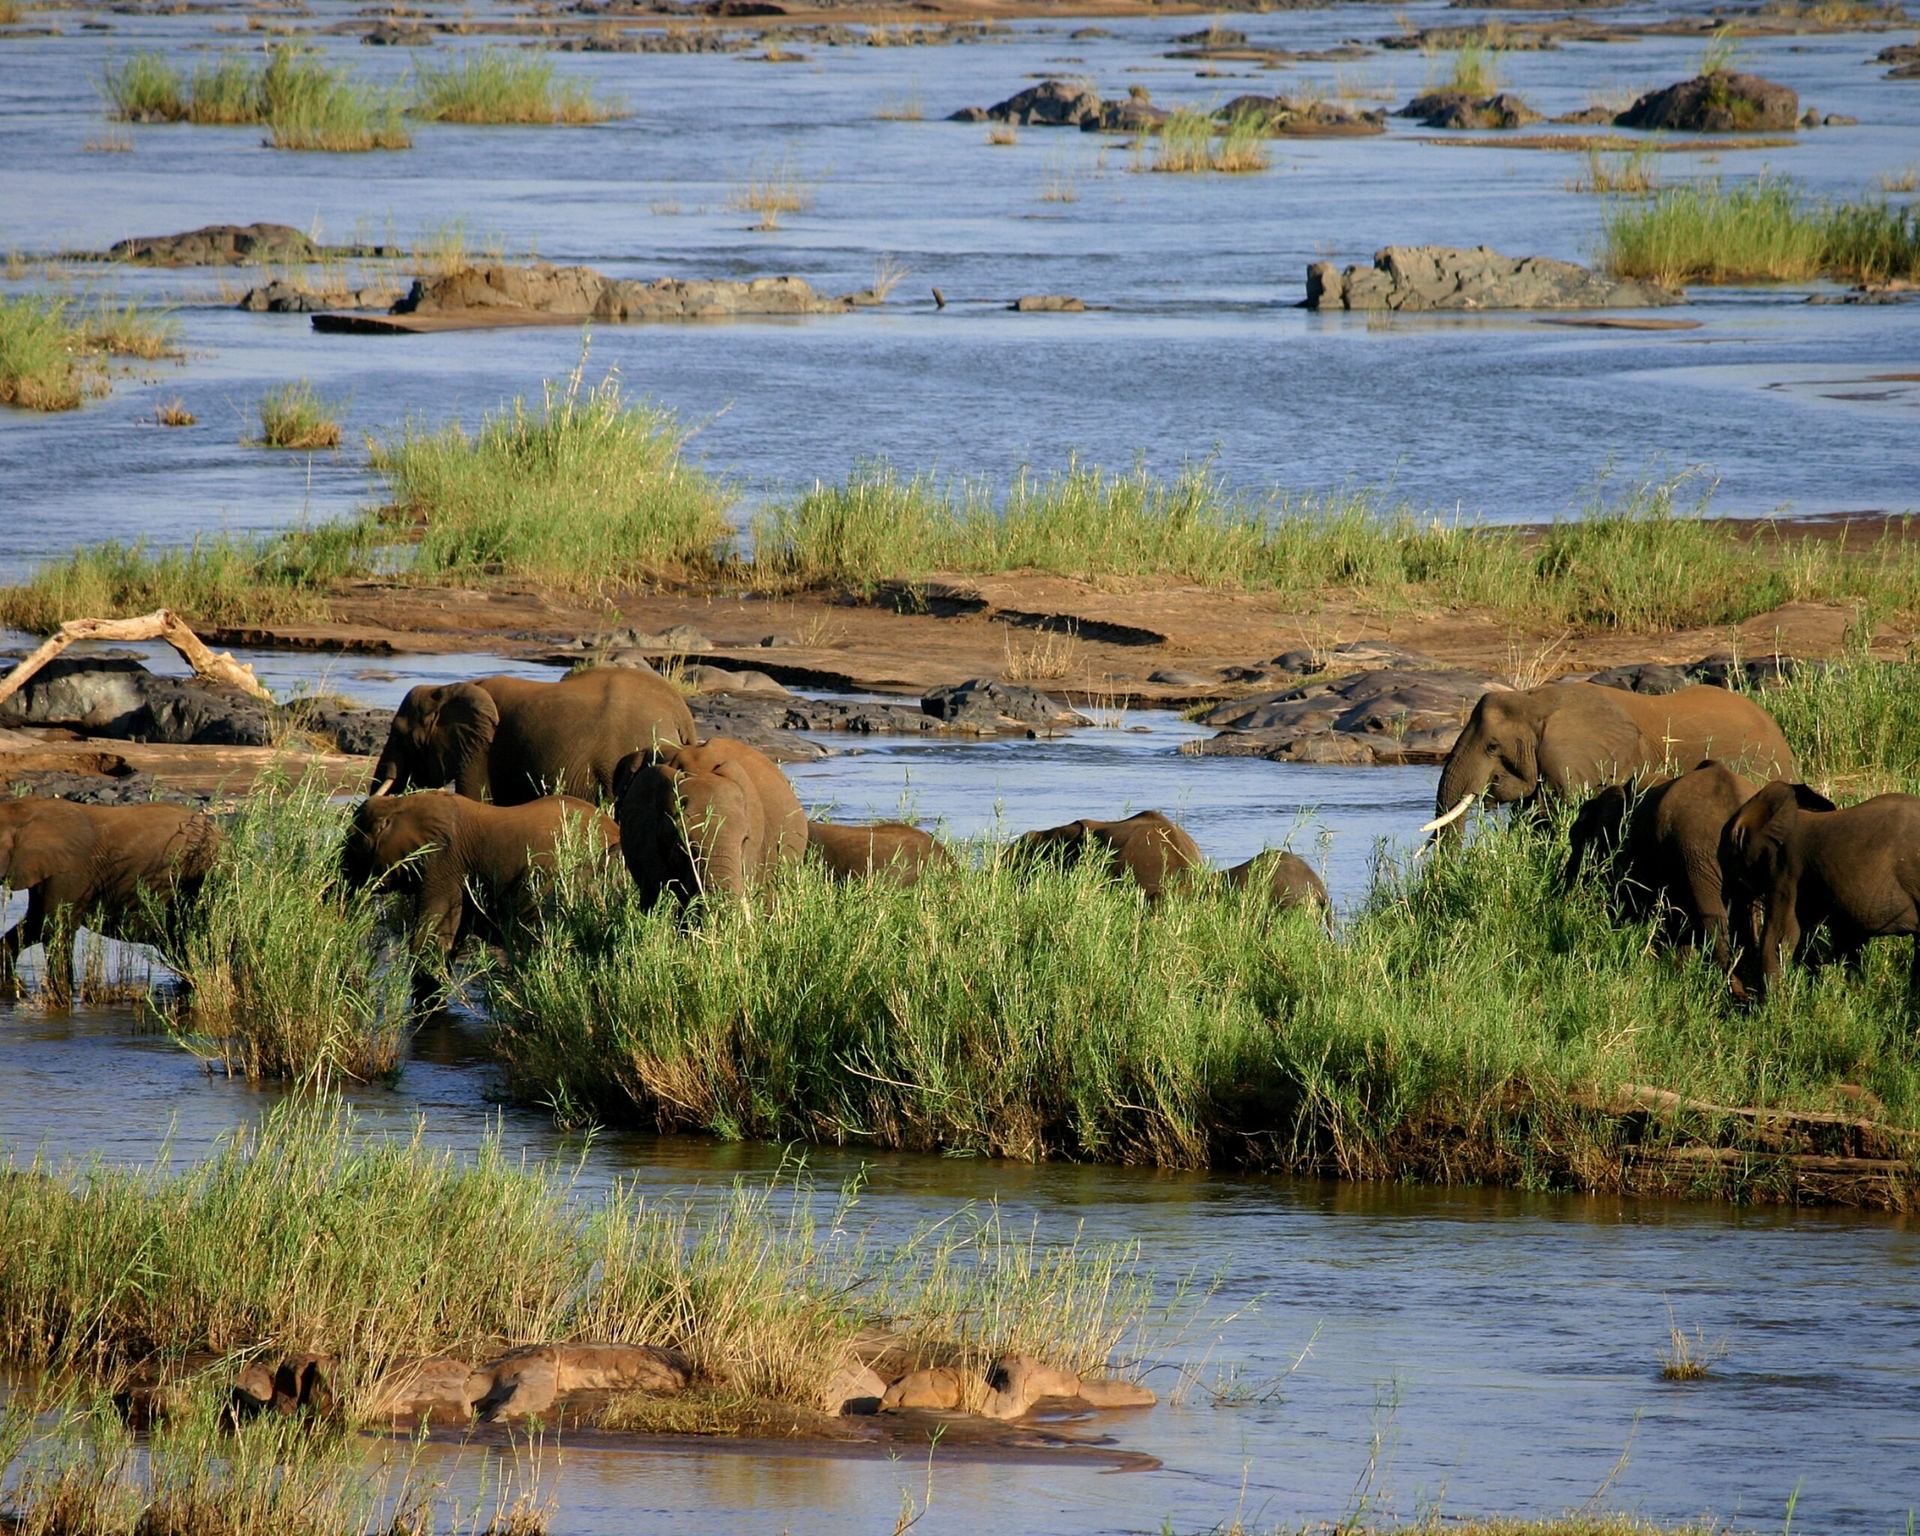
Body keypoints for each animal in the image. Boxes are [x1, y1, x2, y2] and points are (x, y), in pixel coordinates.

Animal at [0, 797, 221, 1000]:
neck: (20, 812)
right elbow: (33, 925)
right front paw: (11, 987)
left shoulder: (69, 871)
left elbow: (55, 929)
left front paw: (63, 997)